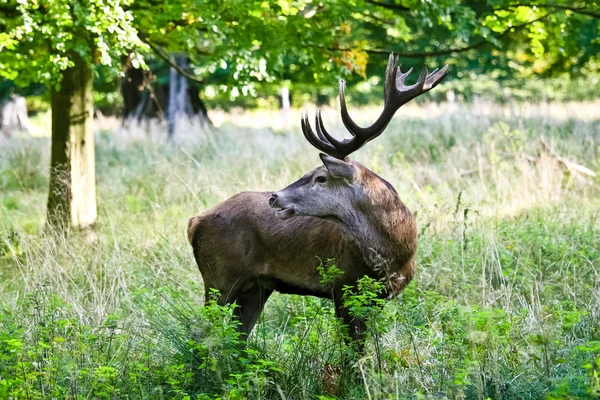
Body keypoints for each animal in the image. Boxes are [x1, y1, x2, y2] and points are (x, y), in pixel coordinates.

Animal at [190, 54, 448, 348]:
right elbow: (353, 351)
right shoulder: (343, 287)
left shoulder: (375, 298)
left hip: (255, 287)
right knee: (202, 334)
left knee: (238, 338)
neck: (395, 254)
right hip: (219, 277)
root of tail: (194, 221)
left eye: (320, 177)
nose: (275, 197)